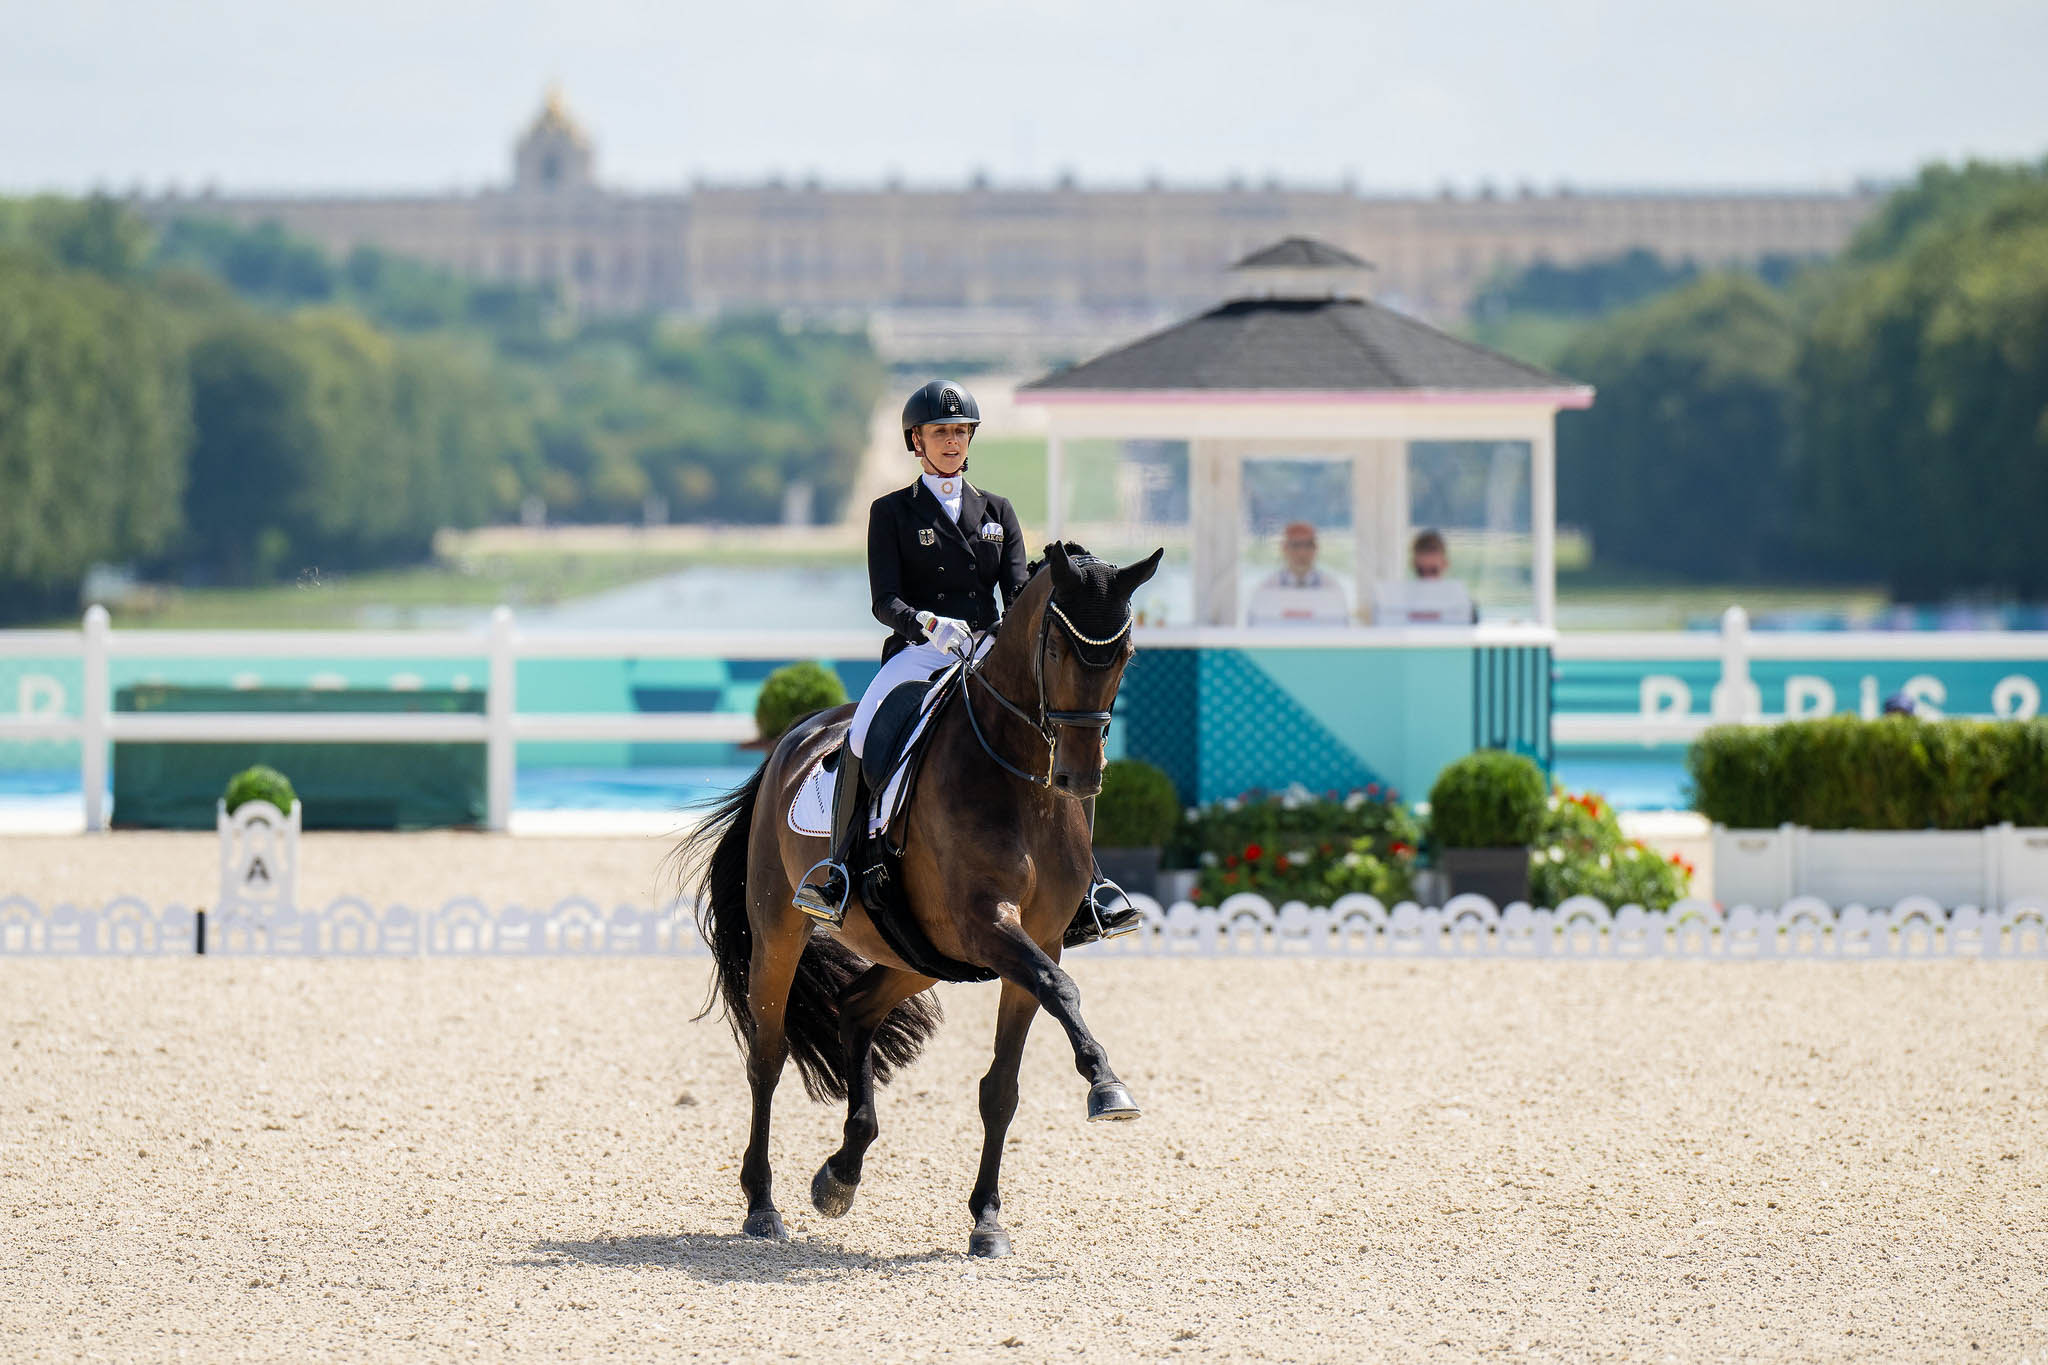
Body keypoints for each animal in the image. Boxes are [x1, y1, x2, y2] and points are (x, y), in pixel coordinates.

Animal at [684, 540, 1171, 1260]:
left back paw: (840, 1174)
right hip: (780, 931)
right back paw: (763, 1205)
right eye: (1056, 649)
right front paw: (1107, 1086)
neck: (1020, 777)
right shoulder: (986, 924)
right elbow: (1062, 990)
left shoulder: (1037, 939)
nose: (1080, 777)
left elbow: (1003, 1087)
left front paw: (987, 1219)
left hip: (916, 953)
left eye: (1126, 654)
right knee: (767, 1059)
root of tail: (795, 737)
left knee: (856, 1009)